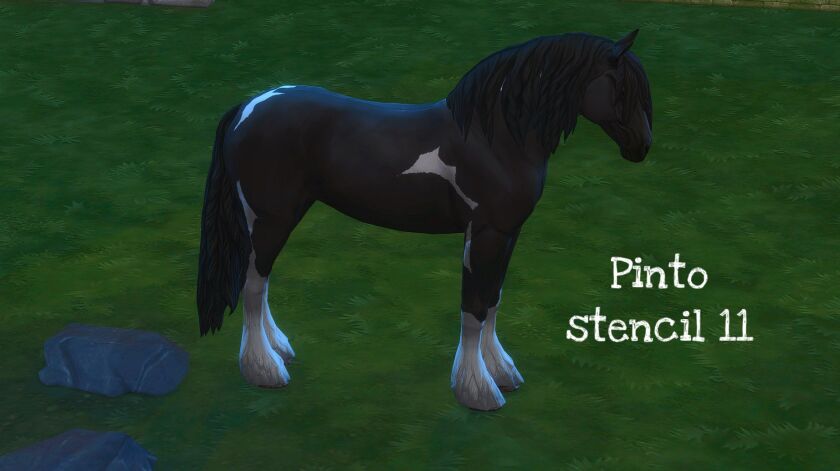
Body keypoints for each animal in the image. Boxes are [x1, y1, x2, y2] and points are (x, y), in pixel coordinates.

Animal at [197, 30, 653, 411]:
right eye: (621, 87)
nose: (642, 147)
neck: (495, 137)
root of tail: (248, 108)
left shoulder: (508, 234)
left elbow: (494, 298)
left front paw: (502, 372)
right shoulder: (485, 233)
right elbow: (474, 307)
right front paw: (477, 390)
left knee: (261, 283)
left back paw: (280, 349)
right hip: (270, 218)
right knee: (254, 284)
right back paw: (264, 369)